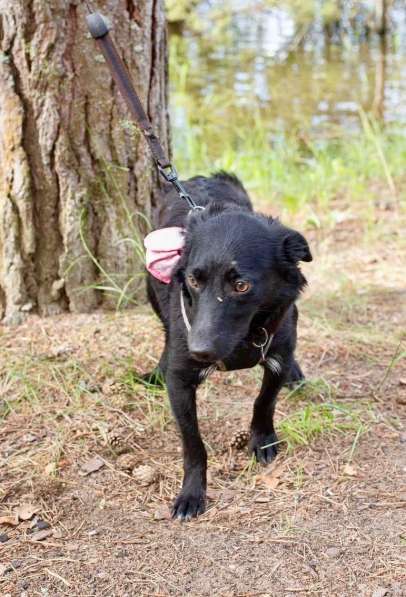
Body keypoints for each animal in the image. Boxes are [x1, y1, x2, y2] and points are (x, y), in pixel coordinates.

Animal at [146, 171, 310, 516]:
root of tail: (200, 177)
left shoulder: (277, 355)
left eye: (241, 285)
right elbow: (193, 443)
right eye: (193, 280)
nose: (199, 351)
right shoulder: (180, 381)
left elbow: (264, 401)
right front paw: (192, 493)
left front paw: (262, 440)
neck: (245, 335)